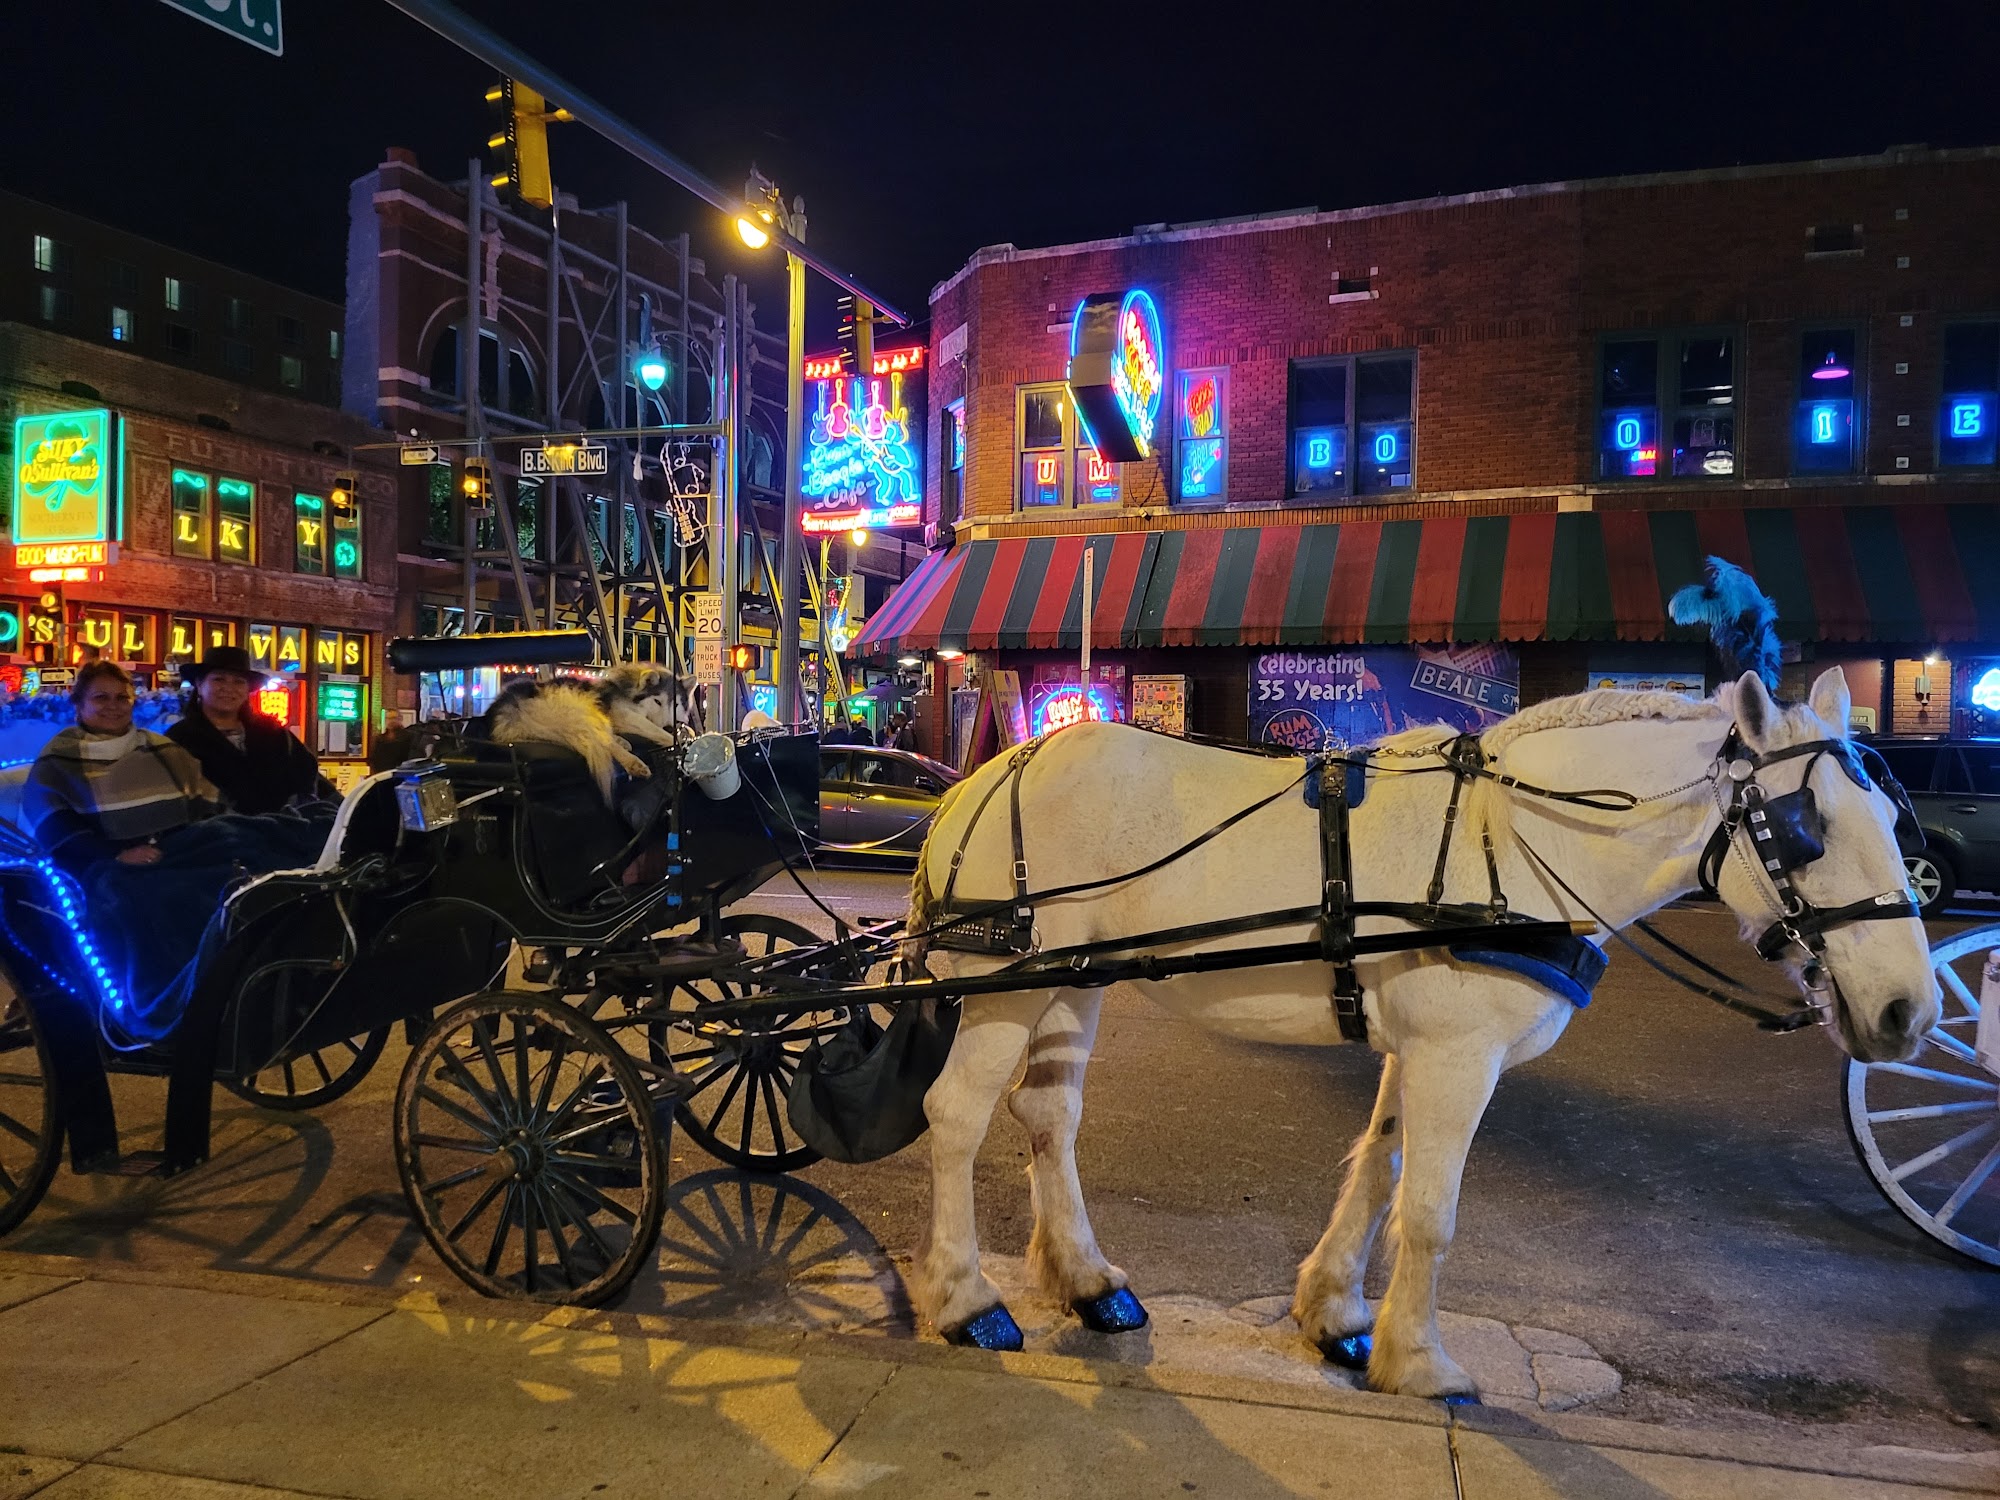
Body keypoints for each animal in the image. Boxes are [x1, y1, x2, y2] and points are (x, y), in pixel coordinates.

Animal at [488, 664, 701, 804]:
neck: (627, 692)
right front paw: (677, 738)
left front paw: (686, 732)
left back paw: (622, 741)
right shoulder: (624, 715)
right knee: (598, 739)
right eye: (657, 701)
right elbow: (653, 728)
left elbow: (687, 728)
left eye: (676, 705)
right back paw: (633, 762)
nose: (669, 726)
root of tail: (507, 706)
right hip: (580, 706)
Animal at [903, 668, 1938, 1400]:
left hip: (1068, 986)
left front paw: (1336, 1315)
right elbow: (1432, 1212)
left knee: (1048, 1115)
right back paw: (965, 1298)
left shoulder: (1424, 1048)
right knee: (955, 1115)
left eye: (1894, 817)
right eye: (1804, 828)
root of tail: (981, 779)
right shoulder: (1458, 1055)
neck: (1517, 840)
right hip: (1002, 991)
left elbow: (1380, 1168)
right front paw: (1420, 1360)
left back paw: (1085, 1280)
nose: (1912, 1013)